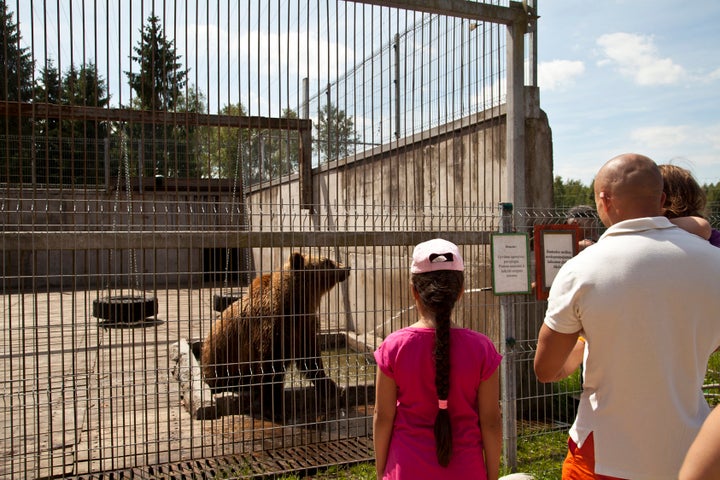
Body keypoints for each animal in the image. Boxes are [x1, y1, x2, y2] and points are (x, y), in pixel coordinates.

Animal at [201, 251, 350, 420]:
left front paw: (330, 386)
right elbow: (270, 367)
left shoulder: (304, 327)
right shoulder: (271, 328)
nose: (346, 267)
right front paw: (275, 408)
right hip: (220, 360)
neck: (296, 304)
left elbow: (310, 358)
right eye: (327, 261)